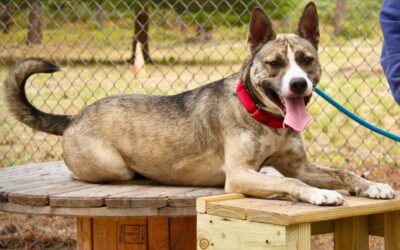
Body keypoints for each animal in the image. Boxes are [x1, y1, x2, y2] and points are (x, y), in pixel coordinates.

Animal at [4, 2, 396, 205]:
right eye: (275, 64)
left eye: (306, 59)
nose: (298, 84)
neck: (263, 118)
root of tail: (72, 117)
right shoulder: (240, 175)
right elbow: (291, 184)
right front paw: (319, 194)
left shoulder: (299, 165)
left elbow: (343, 172)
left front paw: (372, 185)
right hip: (112, 166)